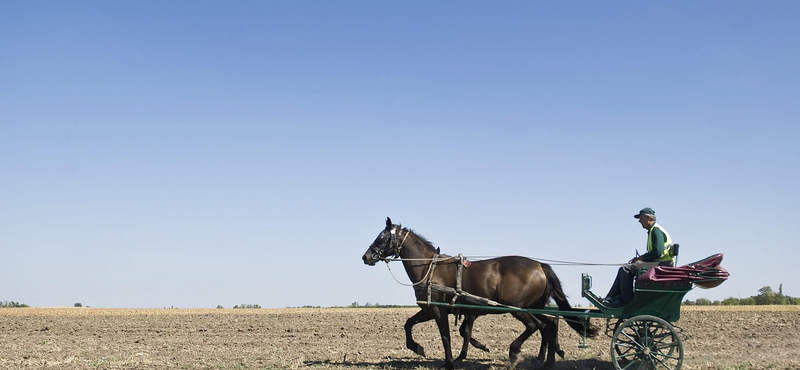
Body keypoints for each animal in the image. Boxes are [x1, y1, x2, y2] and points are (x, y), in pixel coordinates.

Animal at [362, 218, 592, 368]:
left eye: (382, 237)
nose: (366, 257)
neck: (429, 268)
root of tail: (540, 265)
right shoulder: (429, 310)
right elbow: (409, 324)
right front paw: (417, 347)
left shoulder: (439, 311)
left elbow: (446, 337)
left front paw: (449, 362)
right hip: (532, 306)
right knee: (550, 325)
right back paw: (548, 361)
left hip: (518, 308)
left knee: (536, 326)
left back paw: (515, 351)